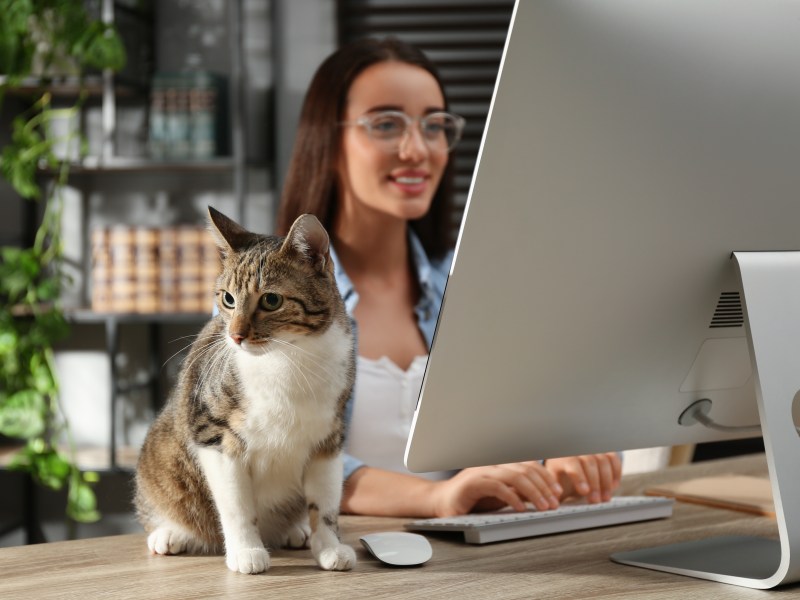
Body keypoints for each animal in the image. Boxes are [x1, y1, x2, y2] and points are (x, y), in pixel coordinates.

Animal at [135, 207, 356, 576]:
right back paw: (170, 534)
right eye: (228, 298)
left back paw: (295, 531)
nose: (236, 335)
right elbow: (237, 504)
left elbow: (324, 503)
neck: (288, 358)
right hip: (163, 459)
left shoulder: (329, 437)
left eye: (271, 300)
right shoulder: (214, 436)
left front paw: (330, 547)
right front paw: (247, 552)